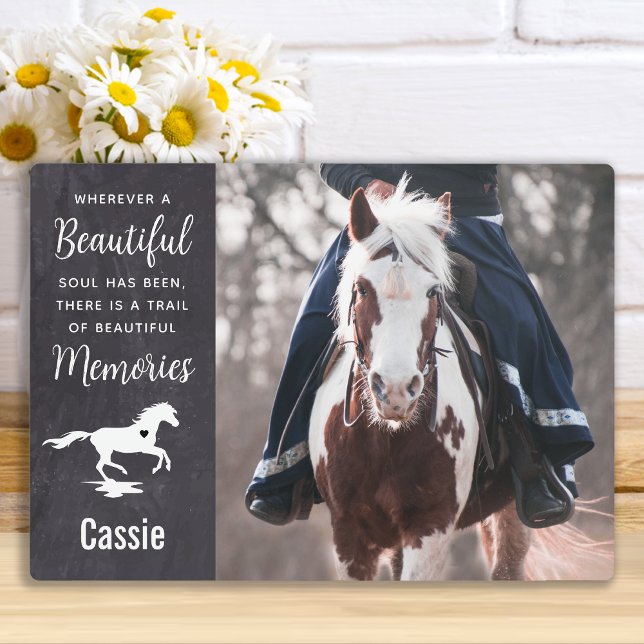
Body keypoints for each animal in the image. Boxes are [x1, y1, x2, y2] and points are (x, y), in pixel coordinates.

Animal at [42, 402, 179, 481]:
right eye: (169, 414)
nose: (177, 423)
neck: (146, 429)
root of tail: (92, 434)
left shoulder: (148, 449)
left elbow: (163, 451)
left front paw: (166, 467)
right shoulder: (145, 449)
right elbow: (161, 452)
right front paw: (158, 468)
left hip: (107, 451)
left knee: (105, 462)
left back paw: (120, 472)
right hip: (105, 450)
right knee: (101, 464)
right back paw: (113, 477)